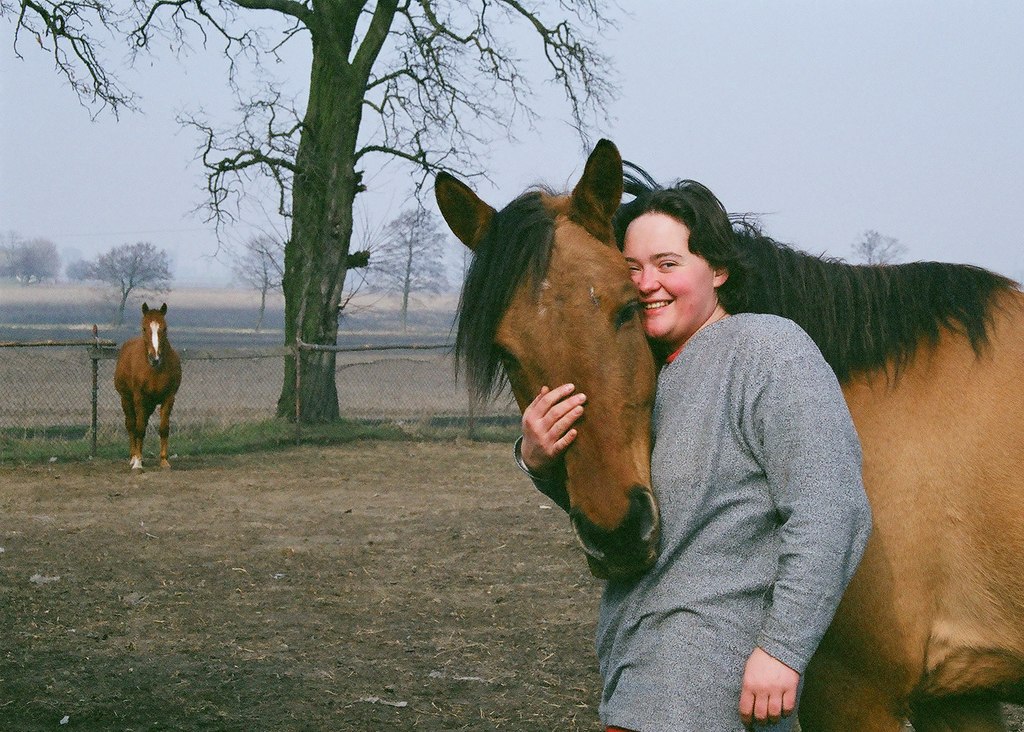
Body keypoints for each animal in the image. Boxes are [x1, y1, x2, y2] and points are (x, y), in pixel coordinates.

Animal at [114, 303, 182, 468]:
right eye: (144, 328)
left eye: (164, 328)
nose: (155, 358)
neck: (154, 370)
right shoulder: (139, 397)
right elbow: (138, 428)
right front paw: (137, 463)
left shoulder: (169, 398)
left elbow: (163, 428)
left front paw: (164, 461)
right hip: (126, 399)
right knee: (131, 425)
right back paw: (134, 457)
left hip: (149, 404)